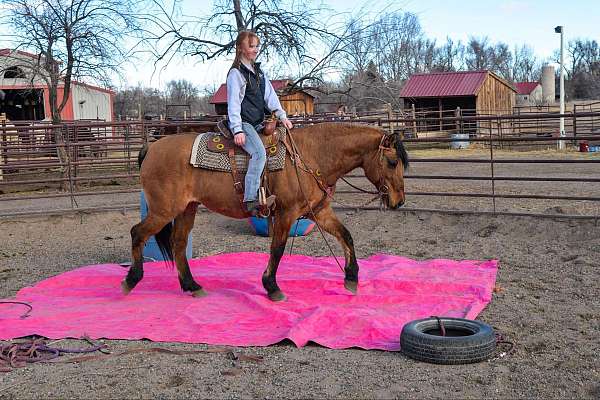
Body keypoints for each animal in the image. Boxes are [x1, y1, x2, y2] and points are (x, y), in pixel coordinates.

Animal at [124, 122, 410, 300]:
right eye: (392, 161)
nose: (399, 201)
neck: (311, 155)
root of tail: (152, 147)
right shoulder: (285, 214)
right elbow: (278, 249)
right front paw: (272, 287)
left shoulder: (320, 213)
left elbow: (346, 236)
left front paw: (351, 278)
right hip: (163, 210)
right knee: (138, 233)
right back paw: (131, 280)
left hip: (186, 208)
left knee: (179, 243)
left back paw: (192, 286)